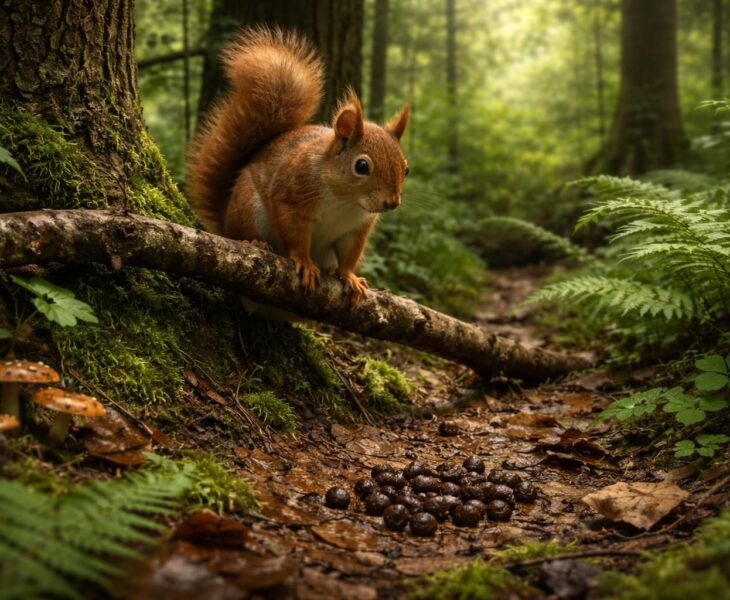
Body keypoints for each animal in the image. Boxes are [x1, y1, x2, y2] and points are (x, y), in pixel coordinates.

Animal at [186, 27, 409, 305]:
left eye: (406, 168)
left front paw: (350, 277)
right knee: (239, 233)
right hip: (247, 209)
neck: (346, 200)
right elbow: (296, 236)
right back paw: (255, 243)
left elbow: (350, 256)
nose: (392, 203)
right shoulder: (294, 197)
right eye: (361, 166)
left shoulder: (357, 228)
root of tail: (224, 218)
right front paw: (304, 263)